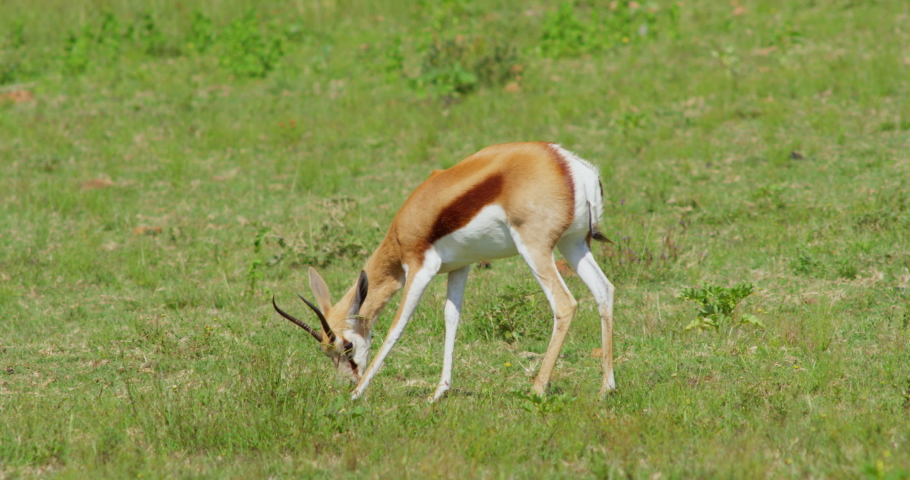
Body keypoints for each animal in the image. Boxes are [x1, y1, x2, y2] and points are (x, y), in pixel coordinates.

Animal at [272, 142, 615, 401]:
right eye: (326, 353)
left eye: (347, 346)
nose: (347, 382)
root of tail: (569, 165)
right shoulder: (460, 267)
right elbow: (451, 318)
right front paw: (439, 392)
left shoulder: (419, 269)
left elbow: (398, 326)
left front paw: (359, 394)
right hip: (574, 244)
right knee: (604, 290)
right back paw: (606, 389)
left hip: (535, 249)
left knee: (565, 304)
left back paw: (537, 389)